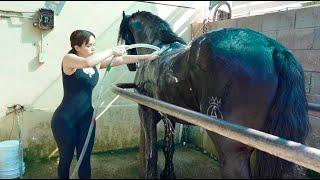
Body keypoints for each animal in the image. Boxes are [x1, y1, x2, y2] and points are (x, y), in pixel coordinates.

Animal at [117, 11, 310, 179]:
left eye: (123, 36)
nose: (129, 65)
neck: (157, 50)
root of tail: (275, 50)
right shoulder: (169, 116)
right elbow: (168, 148)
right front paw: (168, 173)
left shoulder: (146, 111)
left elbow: (151, 153)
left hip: (231, 152)